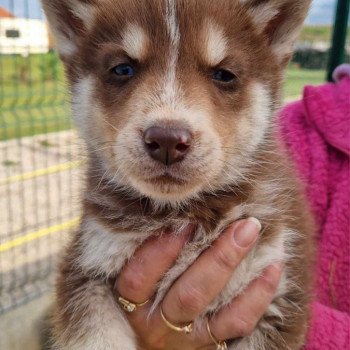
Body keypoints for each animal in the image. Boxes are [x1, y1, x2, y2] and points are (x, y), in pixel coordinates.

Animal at [41, 1, 314, 348]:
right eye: (122, 69)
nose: (167, 139)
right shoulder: (88, 266)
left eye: (224, 74)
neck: (181, 213)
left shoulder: (277, 291)